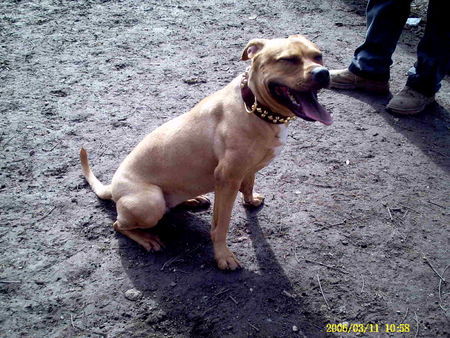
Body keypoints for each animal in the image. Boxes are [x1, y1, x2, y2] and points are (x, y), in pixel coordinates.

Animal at [80, 35, 330, 270]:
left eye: (318, 56)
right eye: (288, 60)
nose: (323, 73)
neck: (256, 107)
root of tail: (112, 188)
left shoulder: (246, 170)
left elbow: (249, 185)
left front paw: (250, 200)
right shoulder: (227, 180)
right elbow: (221, 225)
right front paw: (223, 256)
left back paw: (192, 200)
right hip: (150, 202)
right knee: (118, 225)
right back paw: (147, 239)